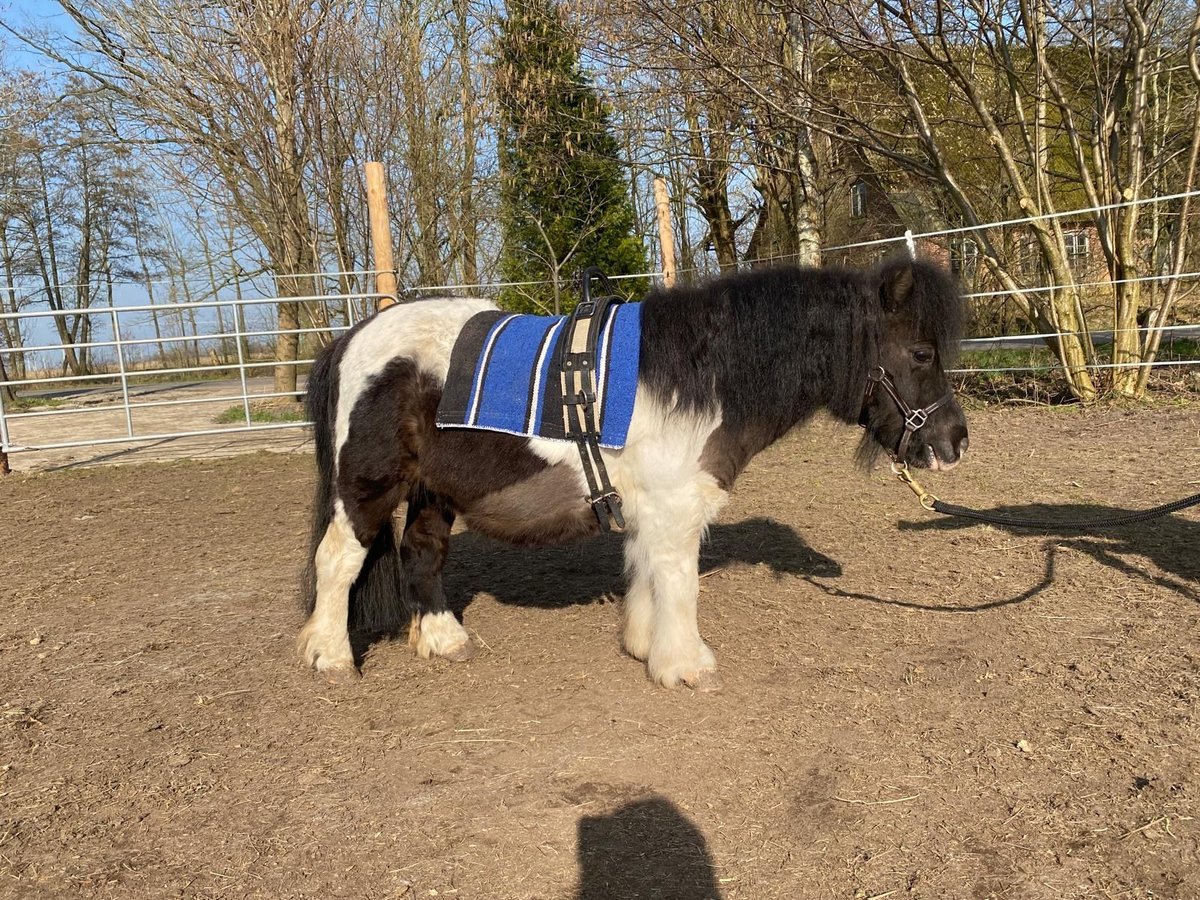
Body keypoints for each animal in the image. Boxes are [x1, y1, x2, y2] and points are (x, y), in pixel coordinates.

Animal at [297, 256, 964, 696]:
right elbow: (680, 583)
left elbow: (646, 575)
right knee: (338, 559)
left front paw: (644, 646)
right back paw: (328, 654)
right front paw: (685, 665)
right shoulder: (675, 507)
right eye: (922, 353)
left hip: (435, 489)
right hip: (368, 485)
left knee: (422, 553)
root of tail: (352, 338)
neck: (702, 375)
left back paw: (441, 638)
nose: (955, 440)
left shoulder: (650, 510)